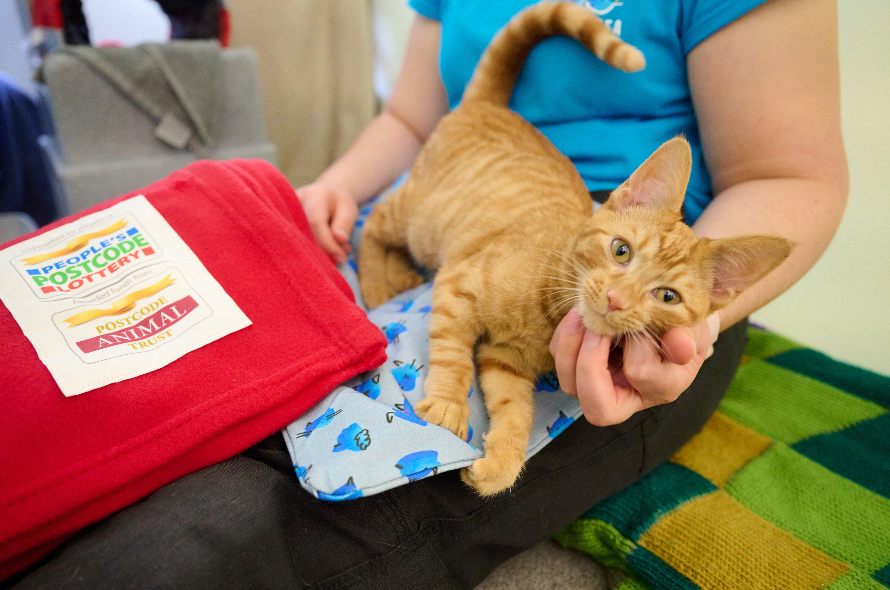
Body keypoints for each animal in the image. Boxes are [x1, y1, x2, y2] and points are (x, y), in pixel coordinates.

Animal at [358, 2, 788, 498]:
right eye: (621, 251)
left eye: (667, 296)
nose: (616, 299)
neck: (547, 310)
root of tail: (488, 104)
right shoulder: (458, 285)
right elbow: (452, 352)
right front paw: (447, 404)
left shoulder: (505, 360)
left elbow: (515, 410)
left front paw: (501, 462)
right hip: (419, 219)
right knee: (370, 222)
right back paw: (376, 282)